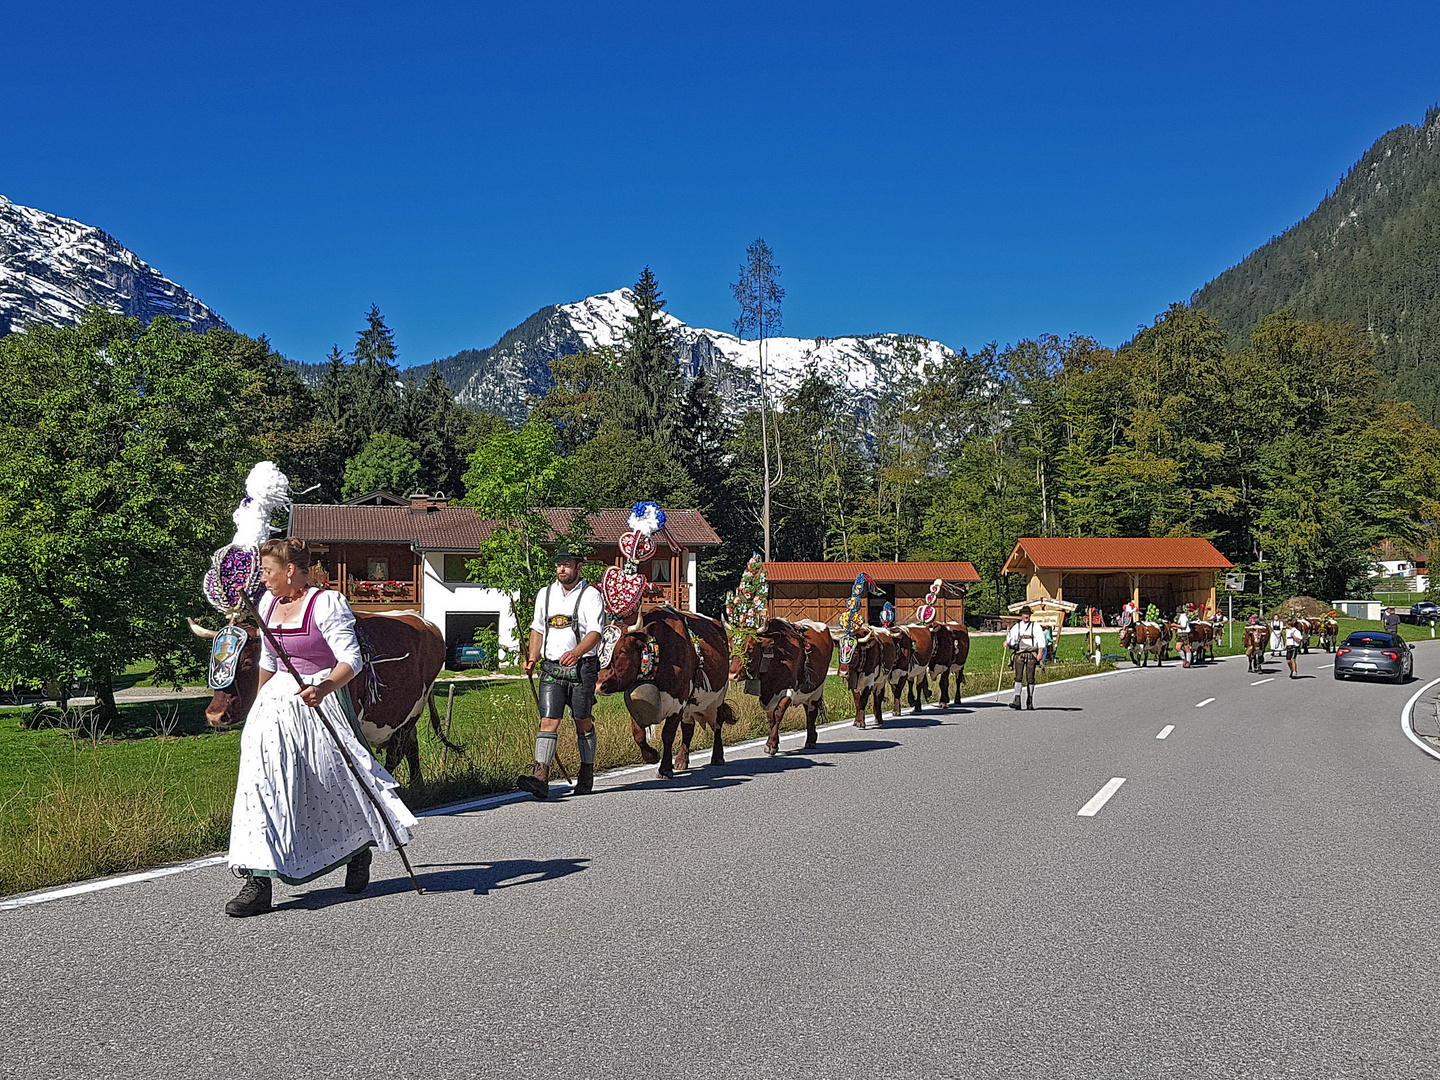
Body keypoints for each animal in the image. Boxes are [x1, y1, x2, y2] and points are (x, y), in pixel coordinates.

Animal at [185, 613, 455, 783]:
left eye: (248, 662)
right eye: (212, 660)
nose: (214, 715)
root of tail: (424, 622)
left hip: (411, 713)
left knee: (397, 753)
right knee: (410, 748)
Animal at [596, 610, 737, 777]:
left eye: (622, 652)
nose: (599, 685)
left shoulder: (678, 703)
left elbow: (667, 735)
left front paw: (664, 768)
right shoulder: (637, 704)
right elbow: (638, 734)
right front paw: (652, 756)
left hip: (718, 698)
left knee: (717, 724)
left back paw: (717, 757)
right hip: (690, 706)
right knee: (688, 729)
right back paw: (681, 760)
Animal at [725, 622, 840, 754]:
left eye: (750, 648)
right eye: (731, 646)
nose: (732, 675)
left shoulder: (790, 690)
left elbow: (779, 714)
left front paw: (771, 744)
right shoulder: (766, 696)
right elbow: (771, 717)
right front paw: (774, 741)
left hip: (817, 689)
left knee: (811, 712)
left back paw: (810, 740)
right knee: (807, 709)